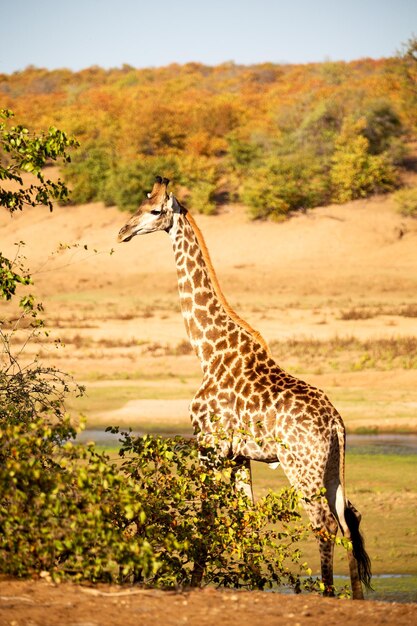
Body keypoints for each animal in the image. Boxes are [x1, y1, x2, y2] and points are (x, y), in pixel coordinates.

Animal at [117, 178, 370, 596]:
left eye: (154, 211)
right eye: (140, 203)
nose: (122, 231)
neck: (207, 349)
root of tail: (336, 423)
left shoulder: (209, 444)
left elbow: (206, 518)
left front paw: (195, 582)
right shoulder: (238, 455)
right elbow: (245, 520)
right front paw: (253, 584)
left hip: (300, 466)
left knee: (324, 525)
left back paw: (329, 594)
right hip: (333, 468)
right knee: (347, 524)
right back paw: (356, 599)